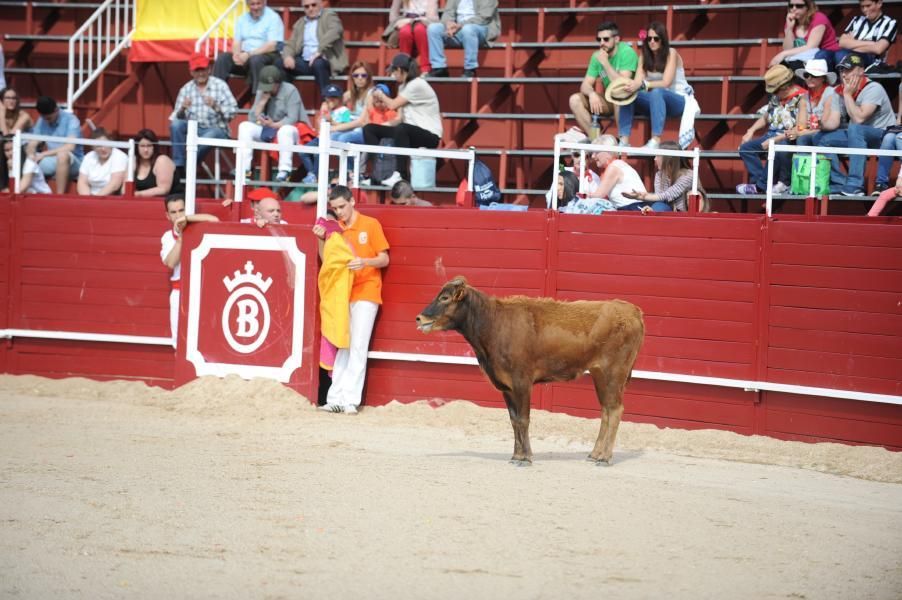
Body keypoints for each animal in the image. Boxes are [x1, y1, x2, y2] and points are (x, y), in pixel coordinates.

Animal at [416, 278, 644, 468]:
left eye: (445, 298)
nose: (419, 318)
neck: (494, 323)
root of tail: (632, 310)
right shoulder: (507, 387)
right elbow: (514, 420)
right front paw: (516, 455)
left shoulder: (522, 382)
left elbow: (523, 419)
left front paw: (525, 458)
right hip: (599, 374)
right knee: (605, 410)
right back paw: (594, 454)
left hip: (614, 372)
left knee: (615, 410)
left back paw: (604, 458)